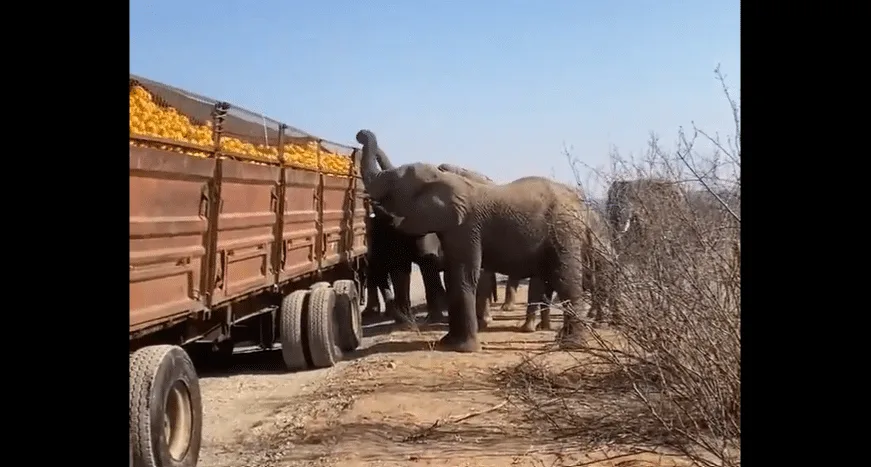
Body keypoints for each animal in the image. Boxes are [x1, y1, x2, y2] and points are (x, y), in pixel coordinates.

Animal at [358, 130, 616, 352]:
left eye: (393, 186)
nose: (360, 134)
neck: (447, 179)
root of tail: (580, 203)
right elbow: (453, 275)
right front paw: (447, 342)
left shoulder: (466, 228)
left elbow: (462, 275)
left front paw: (462, 349)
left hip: (563, 231)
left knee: (565, 279)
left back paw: (571, 344)